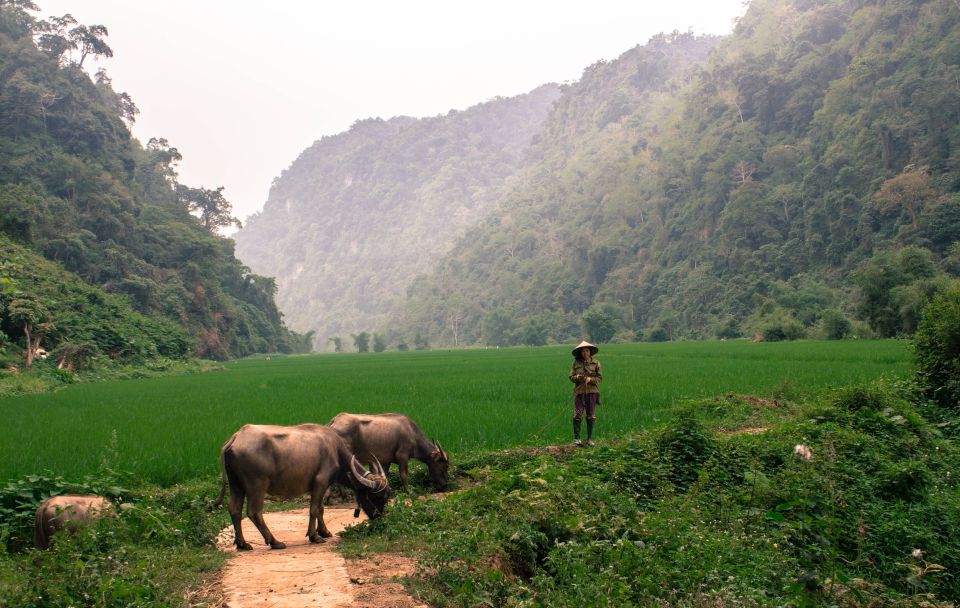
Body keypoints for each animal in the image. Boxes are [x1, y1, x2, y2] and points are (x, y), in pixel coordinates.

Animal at [213, 422, 390, 552]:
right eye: (375, 496)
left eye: (387, 495)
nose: (380, 517)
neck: (335, 450)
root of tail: (235, 438)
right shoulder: (320, 482)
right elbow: (314, 509)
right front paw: (315, 536)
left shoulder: (321, 486)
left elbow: (321, 508)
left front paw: (324, 532)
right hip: (257, 486)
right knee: (254, 512)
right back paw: (275, 542)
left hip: (236, 484)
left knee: (234, 510)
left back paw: (242, 544)